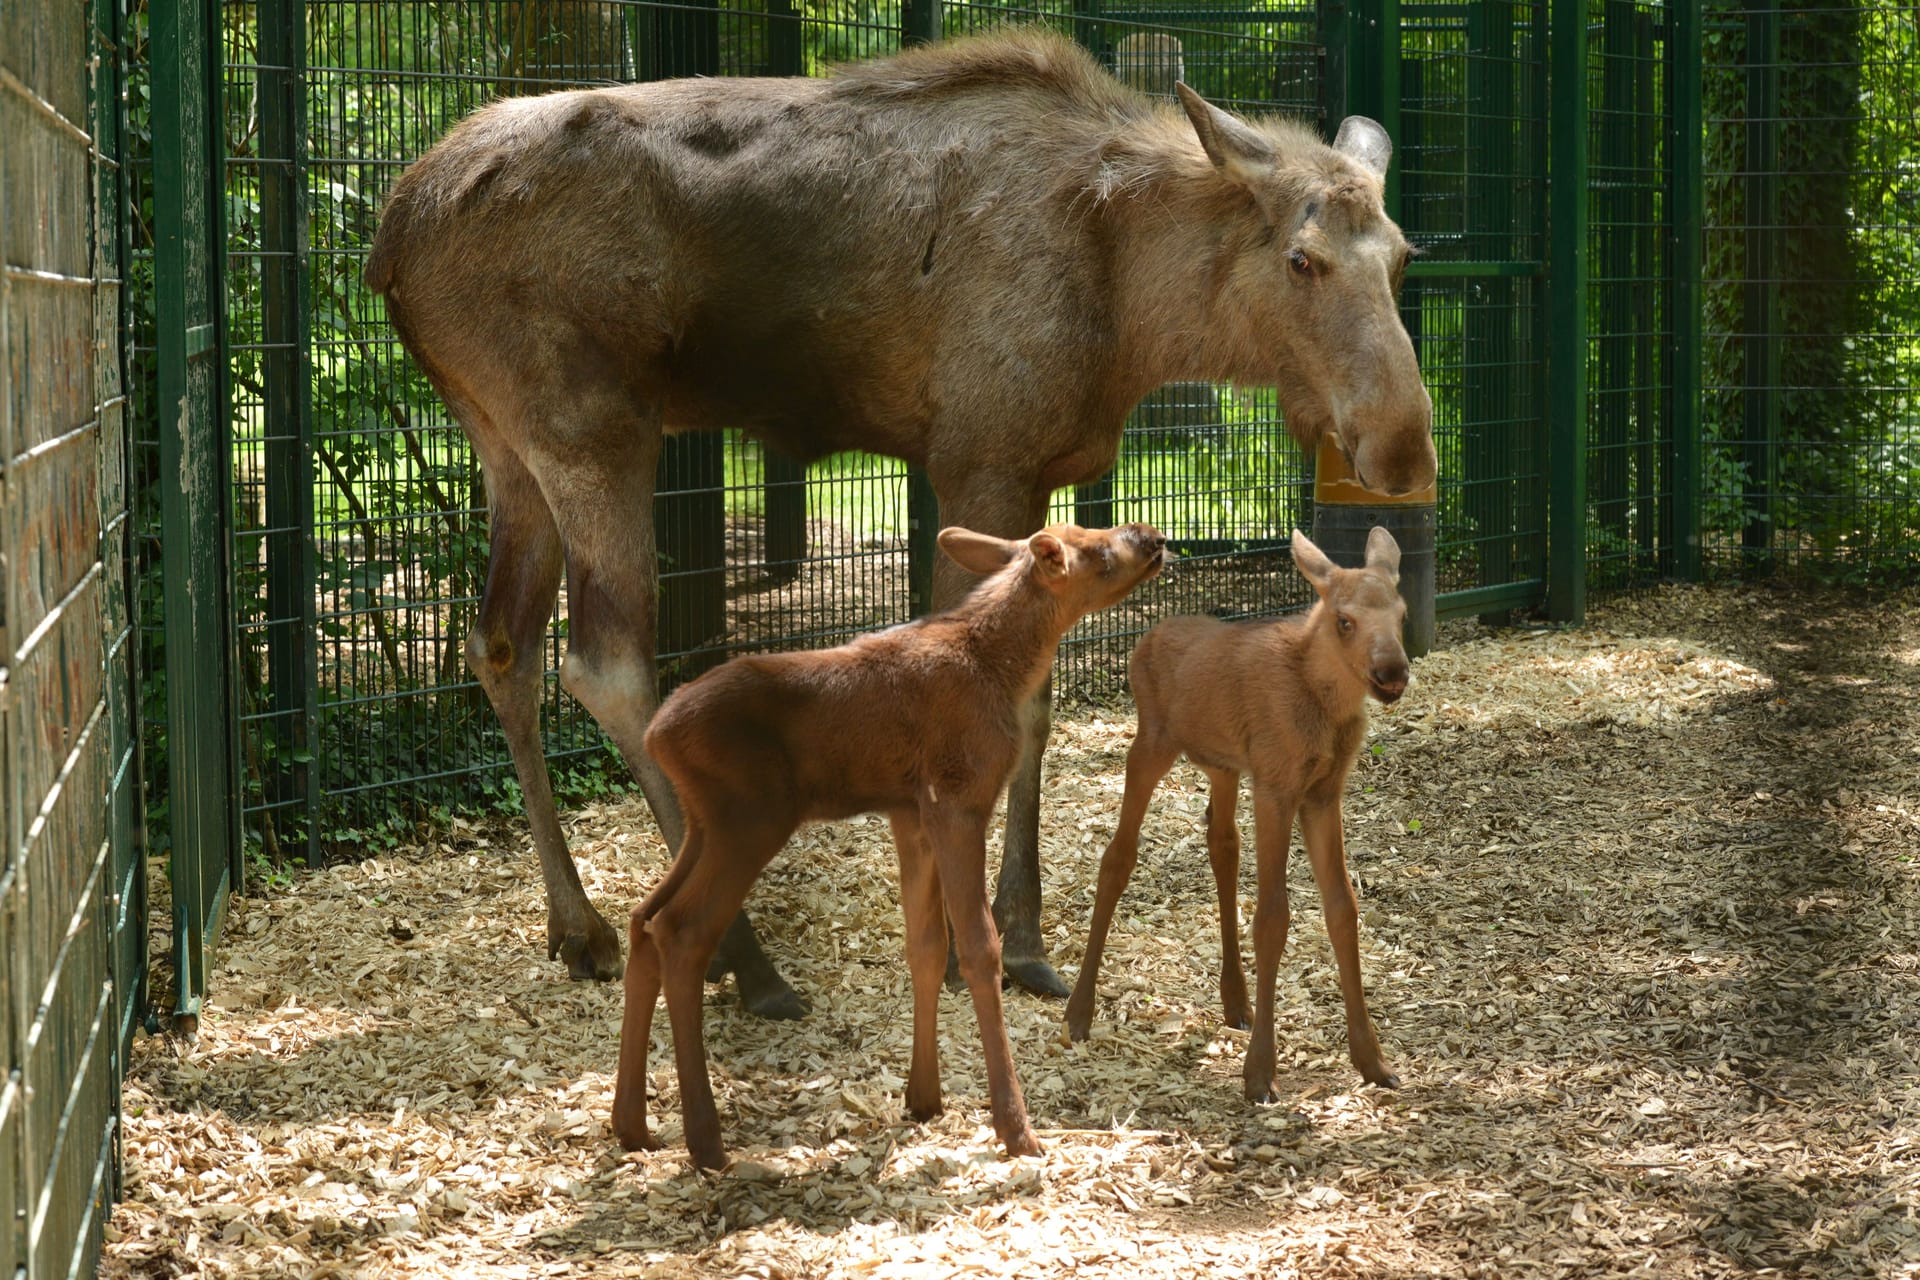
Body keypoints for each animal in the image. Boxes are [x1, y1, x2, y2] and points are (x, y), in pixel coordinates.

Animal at [366, 29, 1436, 1013]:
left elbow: (1035, 701)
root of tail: (390, 240)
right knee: (606, 664)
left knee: (500, 645)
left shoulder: (1031, 473)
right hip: (595, 424)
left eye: (1404, 255)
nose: (1404, 450)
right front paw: (973, 947)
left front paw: (1022, 936)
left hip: (504, 440)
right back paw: (741, 959)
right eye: (1301, 258)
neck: (1136, 309)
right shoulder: (979, 460)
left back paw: (579, 927)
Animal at [610, 521, 1167, 1174]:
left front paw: (924, 1097)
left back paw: (632, 1125)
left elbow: (925, 946)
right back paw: (706, 1141)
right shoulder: (957, 798)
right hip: (748, 820)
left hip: (704, 826)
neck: (1005, 669)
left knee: (643, 918)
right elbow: (977, 947)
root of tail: (657, 733)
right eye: (1100, 552)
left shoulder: (910, 813)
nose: (1153, 537)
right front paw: (1015, 1129)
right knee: (682, 931)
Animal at [1067, 529, 1413, 1105]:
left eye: (1403, 614)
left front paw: (1374, 1060)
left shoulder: (1323, 793)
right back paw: (1078, 1011)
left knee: (1221, 845)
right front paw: (1259, 1073)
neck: (1325, 711)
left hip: (1223, 766)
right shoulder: (1275, 782)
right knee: (1117, 855)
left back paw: (1236, 999)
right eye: (1344, 620)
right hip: (1151, 742)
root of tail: (1142, 642)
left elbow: (1342, 909)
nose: (1392, 673)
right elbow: (1273, 917)